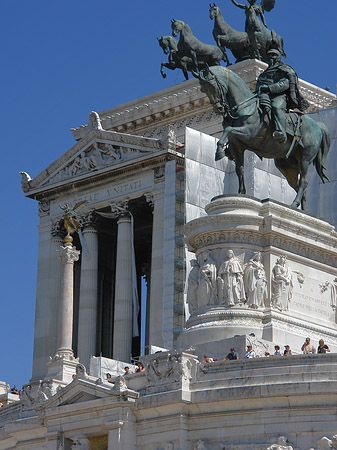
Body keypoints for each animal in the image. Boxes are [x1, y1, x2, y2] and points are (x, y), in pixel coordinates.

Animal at [193, 66, 330, 210]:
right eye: (203, 89)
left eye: (212, 85)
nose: (218, 108)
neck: (246, 106)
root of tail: (318, 126)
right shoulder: (237, 145)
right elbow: (239, 169)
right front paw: (241, 193)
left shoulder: (249, 133)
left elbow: (228, 129)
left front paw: (219, 151)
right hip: (287, 165)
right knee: (298, 186)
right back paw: (301, 209)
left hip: (305, 158)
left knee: (304, 182)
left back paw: (294, 204)